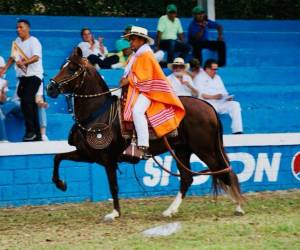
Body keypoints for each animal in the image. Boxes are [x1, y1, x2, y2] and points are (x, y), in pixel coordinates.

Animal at [47, 47, 244, 221]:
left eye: (72, 68)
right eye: (62, 66)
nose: (50, 88)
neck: (98, 112)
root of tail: (208, 107)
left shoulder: (108, 159)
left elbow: (113, 186)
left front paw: (115, 213)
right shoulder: (88, 154)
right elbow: (58, 157)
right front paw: (60, 184)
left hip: (205, 149)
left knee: (222, 170)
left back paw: (238, 206)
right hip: (182, 150)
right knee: (188, 178)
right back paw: (170, 210)